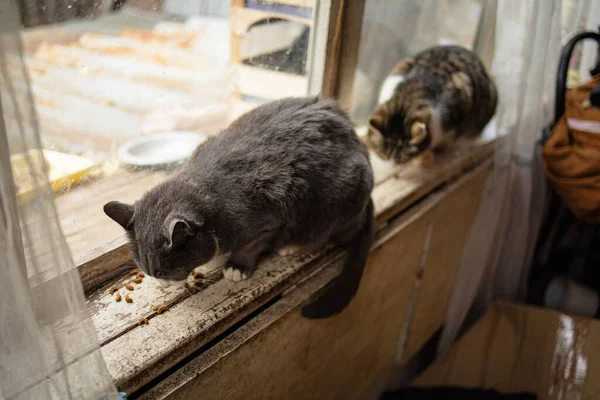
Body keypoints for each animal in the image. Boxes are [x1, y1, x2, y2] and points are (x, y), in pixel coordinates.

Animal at [104, 95, 376, 318]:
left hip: (338, 202)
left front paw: (236, 266)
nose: (160, 281)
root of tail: (358, 142)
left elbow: (251, 245)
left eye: (168, 271)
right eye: (148, 270)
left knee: (338, 233)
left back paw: (292, 245)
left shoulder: (269, 218)